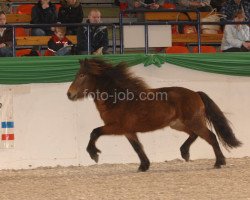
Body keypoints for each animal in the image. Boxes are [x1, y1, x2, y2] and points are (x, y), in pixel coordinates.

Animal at [67, 57, 242, 172]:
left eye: (81, 75)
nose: (69, 94)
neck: (117, 99)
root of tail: (196, 94)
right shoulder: (128, 131)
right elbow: (138, 147)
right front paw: (144, 166)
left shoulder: (116, 127)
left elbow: (94, 132)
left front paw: (94, 154)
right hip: (178, 124)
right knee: (194, 135)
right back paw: (185, 152)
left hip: (194, 122)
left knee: (211, 136)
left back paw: (219, 162)